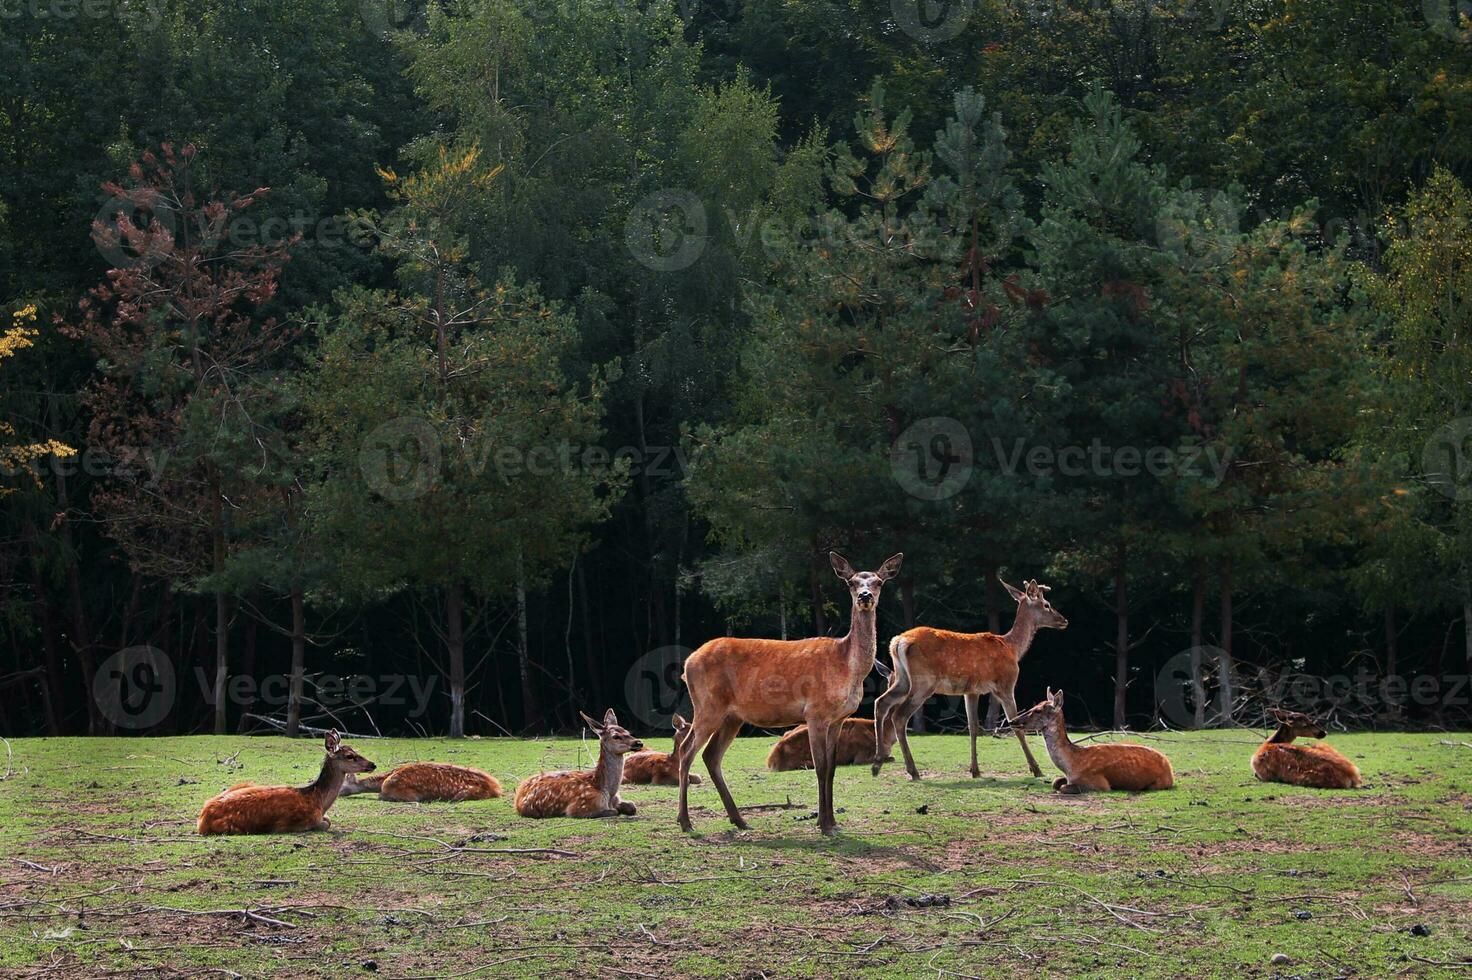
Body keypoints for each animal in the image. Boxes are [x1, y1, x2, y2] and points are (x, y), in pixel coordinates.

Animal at [197, 723, 376, 829]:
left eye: (355, 750)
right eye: (350, 756)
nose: (373, 764)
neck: (317, 800)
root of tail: (201, 820)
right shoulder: (299, 822)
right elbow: (326, 823)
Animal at [674, 550, 900, 829]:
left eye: (878, 582)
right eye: (851, 582)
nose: (865, 596)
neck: (848, 668)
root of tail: (688, 663)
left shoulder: (839, 718)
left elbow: (832, 768)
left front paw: (832, 821)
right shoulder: (815, 712)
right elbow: (820, 767)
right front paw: (824, 824)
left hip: (732, 716)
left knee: (711, 756)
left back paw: (739, 820)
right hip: (707, 706)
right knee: (686, 751)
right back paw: (685, 821)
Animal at [865, 573, 1065, 776]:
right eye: (1046, 604)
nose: (1064, 620)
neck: (1013, 648)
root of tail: (898, 642)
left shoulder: (971, 691)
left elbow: (973, 728)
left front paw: (975, 770)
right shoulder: (1006, 685)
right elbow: (1016, 726)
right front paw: (1036, 769)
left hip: (901, 678)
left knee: (881, 702)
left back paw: (877, 763)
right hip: (924, 682)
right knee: (899, 716)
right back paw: (912, 770)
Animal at [1006, 685, 1177, 794]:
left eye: (1038, 710)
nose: (1013, 721)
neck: (1071, 765)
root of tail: (1169, 767)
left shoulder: (1098, 782)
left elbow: (1062, 787)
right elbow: (1055, 782)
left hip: (1158, 783)